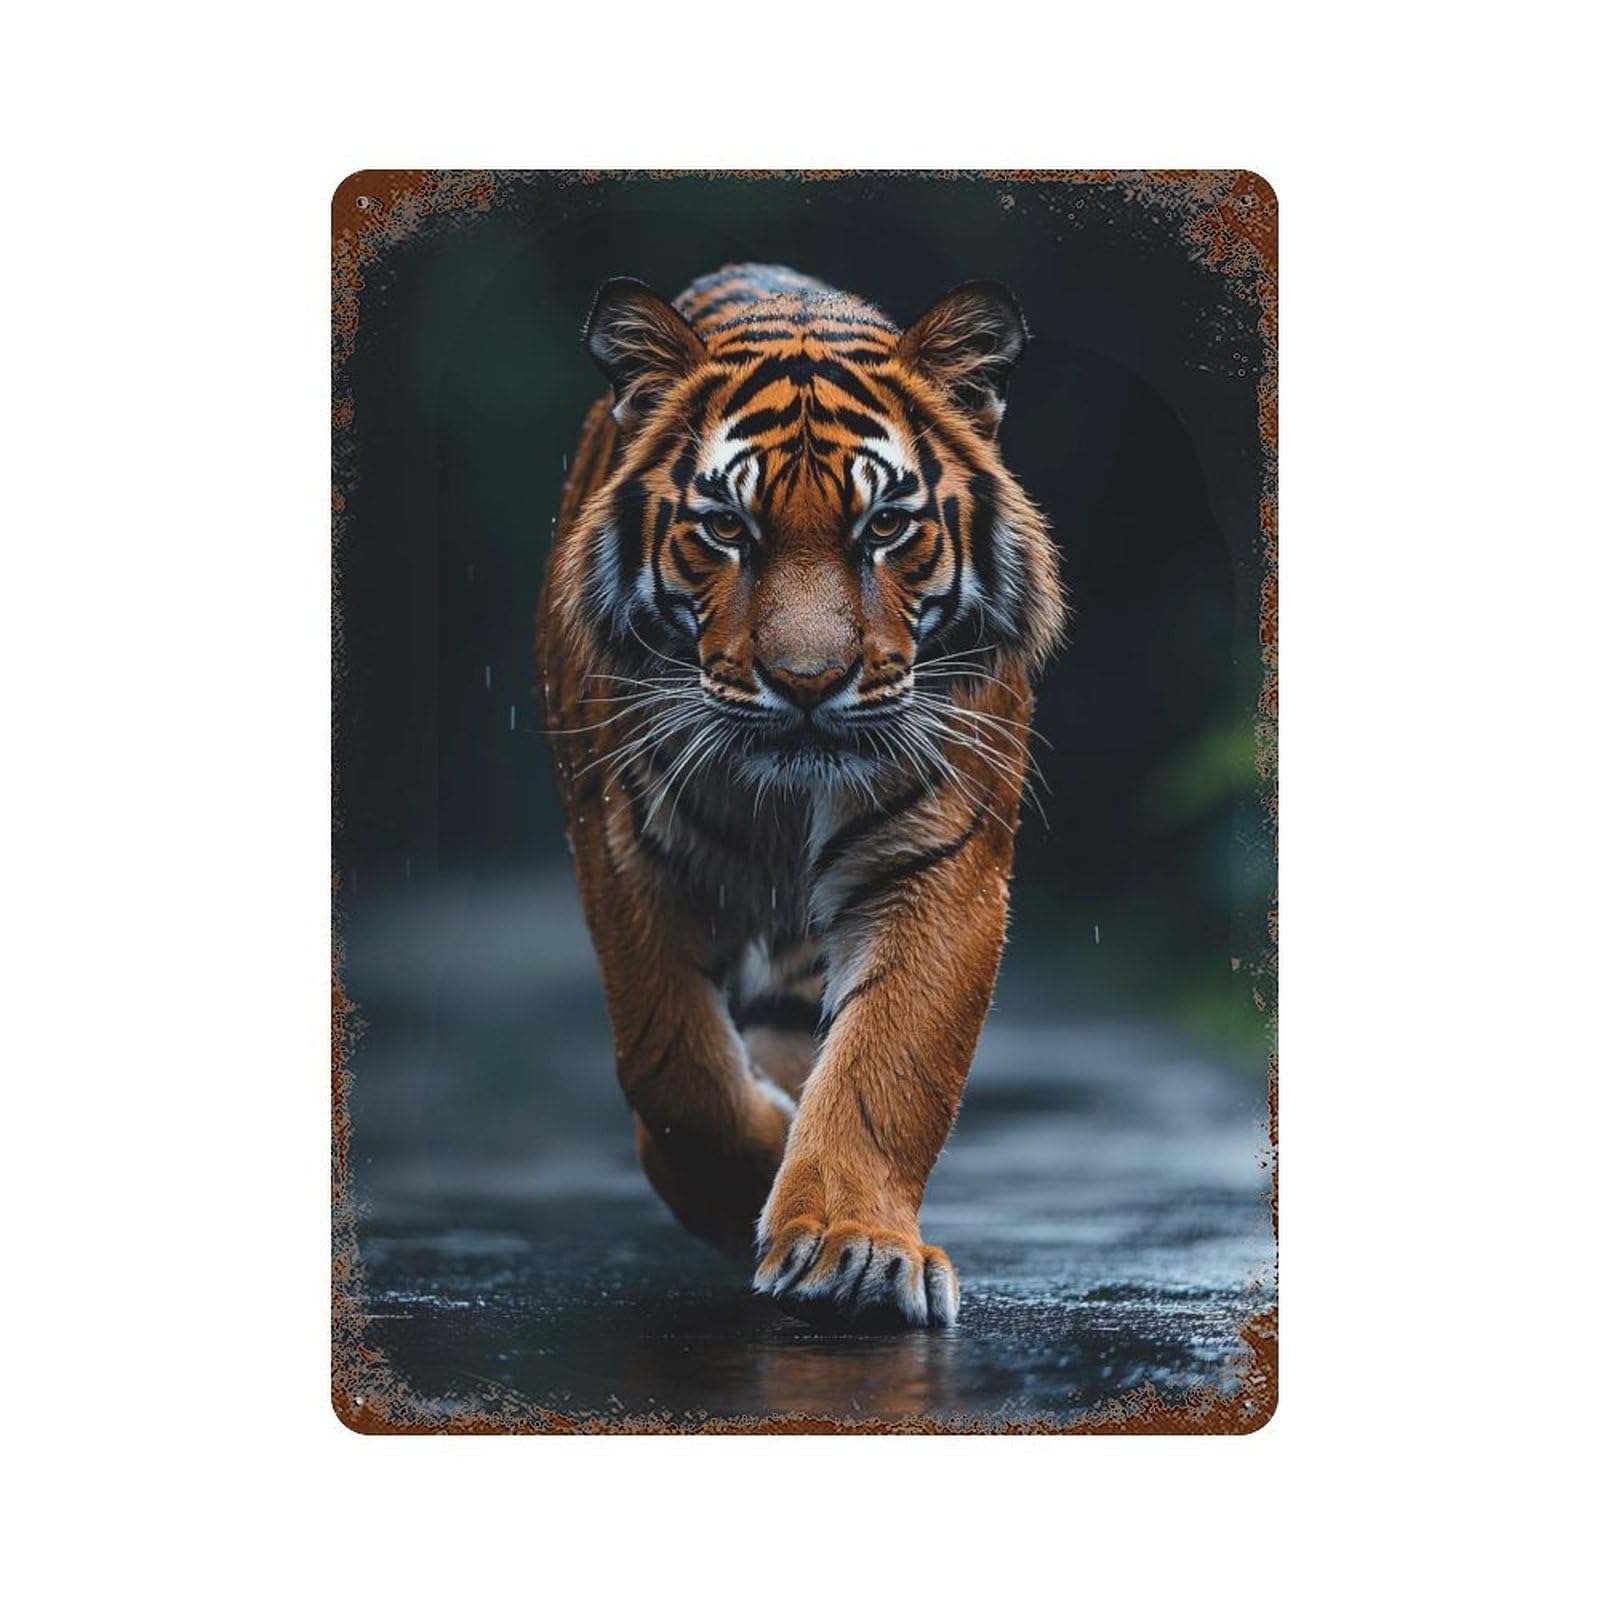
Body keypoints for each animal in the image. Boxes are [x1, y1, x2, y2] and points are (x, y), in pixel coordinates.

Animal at [536, 262, 1065, 1328]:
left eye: (885, 526)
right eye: (726, 529)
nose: (809, 683)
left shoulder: (939, 865)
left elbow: (888, 1065)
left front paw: (848, 1246)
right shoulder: (625, 855)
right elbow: (674, 1065)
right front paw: (749, 1180)